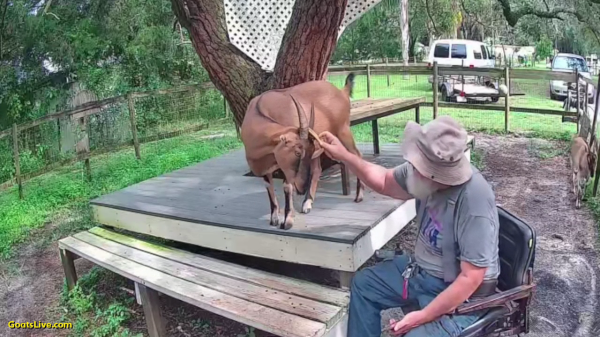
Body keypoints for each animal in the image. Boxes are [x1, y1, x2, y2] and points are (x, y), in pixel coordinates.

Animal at [240, 74, 364, 230]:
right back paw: (307, 203)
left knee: (357, 155)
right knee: (317, 169)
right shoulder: (267, 167)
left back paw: (359, 196)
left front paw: (287, 221)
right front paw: (274, 218)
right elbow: (269, 187)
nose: (301, 188)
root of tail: (341, 92)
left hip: (343, 131)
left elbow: (287, 187)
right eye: (298, 153)